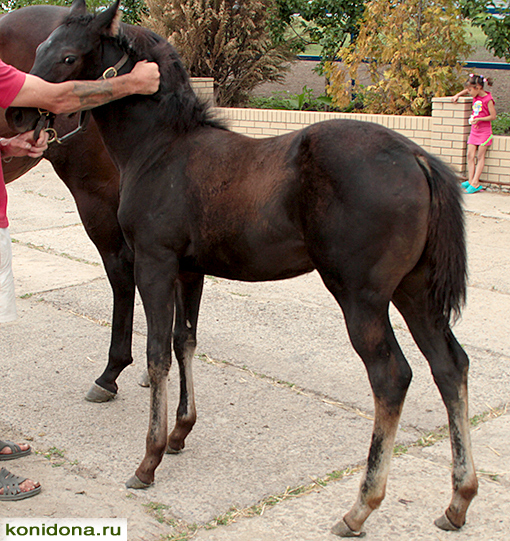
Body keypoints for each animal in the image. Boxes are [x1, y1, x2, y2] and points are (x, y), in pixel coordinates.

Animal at [7, 0, 478, 532]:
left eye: (68, 57)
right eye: (39, 49)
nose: (17, 112)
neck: (161, 148)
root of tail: (419, 157)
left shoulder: (154, 262)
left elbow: (156, 353)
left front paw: (148, 460)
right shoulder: (190, 270)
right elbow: (185, 341)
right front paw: (180, 434)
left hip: (362, 296)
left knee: (391, 377)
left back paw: (359, 508)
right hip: (416, 291)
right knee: (450, 365)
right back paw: (458, 501)